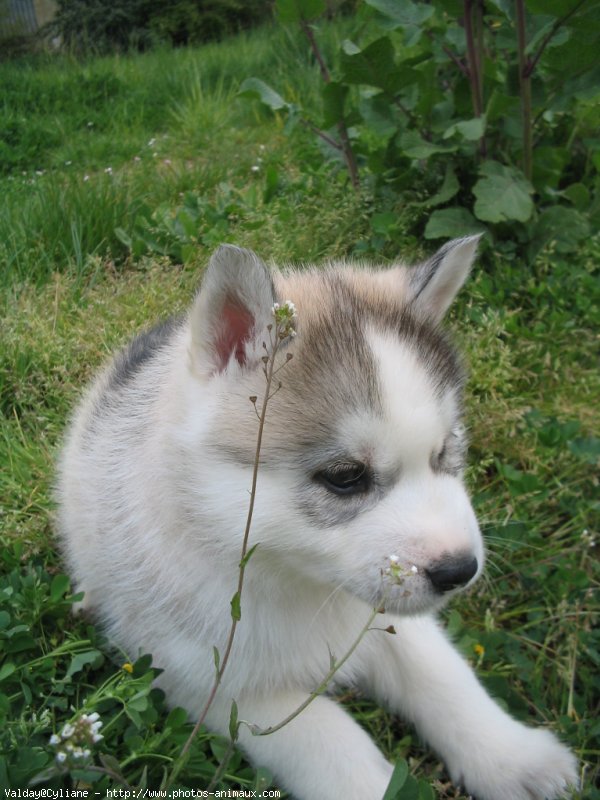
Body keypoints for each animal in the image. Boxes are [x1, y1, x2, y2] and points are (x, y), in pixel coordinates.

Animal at [57, 238, 576, 800]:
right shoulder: (220, 686)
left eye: (445, 452)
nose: (461, 571)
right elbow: (334, 743)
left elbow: (444, 675)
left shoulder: (385, 620)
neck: (298, 584)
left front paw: (514, 757)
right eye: (345, 476)